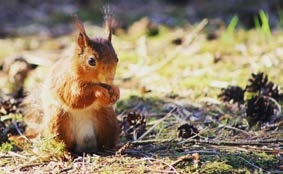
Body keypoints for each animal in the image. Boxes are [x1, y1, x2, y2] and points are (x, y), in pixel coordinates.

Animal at [22, 15, 120, 153]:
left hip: (108, 120)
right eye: (91, 61)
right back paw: (65, 153)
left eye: (117, 58)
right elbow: (76, 97)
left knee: (106, 142)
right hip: (59, 122)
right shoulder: (66, 83)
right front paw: (100, 92)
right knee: (63, 144)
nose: (109, 78)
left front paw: (116, 91)